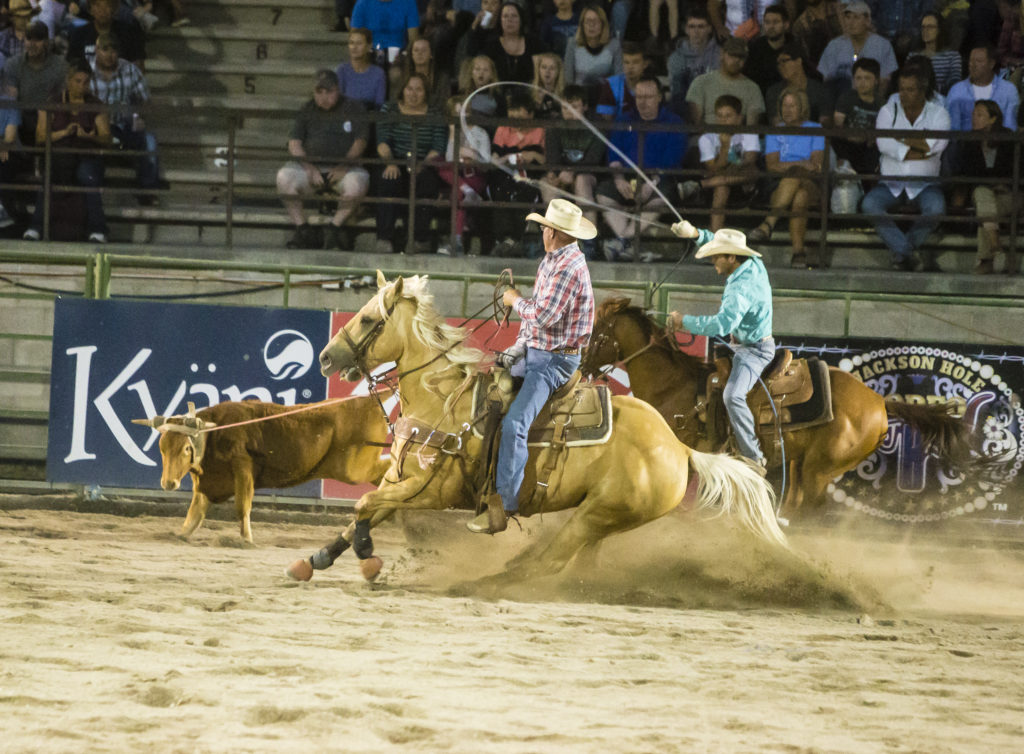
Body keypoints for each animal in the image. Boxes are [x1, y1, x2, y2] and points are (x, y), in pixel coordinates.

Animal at [134, 395, 389, 540]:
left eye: (186, 448)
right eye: (162, 448)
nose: (169, 483)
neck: (213, 434)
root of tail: (366, 400)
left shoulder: (243, 468)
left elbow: (242, 505)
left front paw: (246, 539)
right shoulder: (208, 483)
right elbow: (194, 514)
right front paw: (180, 534)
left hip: (355, 468)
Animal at [284, 270, 786, 581]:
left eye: (369, 318)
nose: (325, 358)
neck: (441, 401)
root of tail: (678, 448)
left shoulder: (431, 491)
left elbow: (363, 506)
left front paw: (367, 559)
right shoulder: (402, 483)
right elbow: (363, 512)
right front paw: (314, 560)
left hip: (596, 514)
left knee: (552, 559)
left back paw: (490, 579)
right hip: (604, 521)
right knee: (574, 561)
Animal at [585, 297, 974, 520]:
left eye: (596, 333)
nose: (583, 365)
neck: (672, 384)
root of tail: (878, 400)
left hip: (820, 469)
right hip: (802, 466)